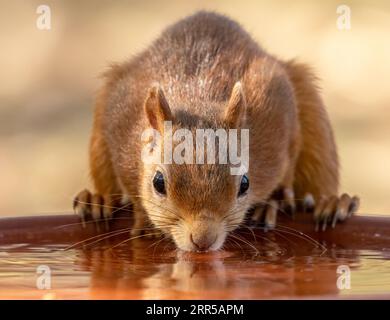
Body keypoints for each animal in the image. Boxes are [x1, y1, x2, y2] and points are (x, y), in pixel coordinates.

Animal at [73, 10, 360, 252]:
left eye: (245, 184)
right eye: (158, 183)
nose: (203, 239)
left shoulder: (279, 110)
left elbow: (287, 167)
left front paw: (272, 202)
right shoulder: (120, 119)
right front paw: (144, 221)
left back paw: (334, 204)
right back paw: (98, 200)